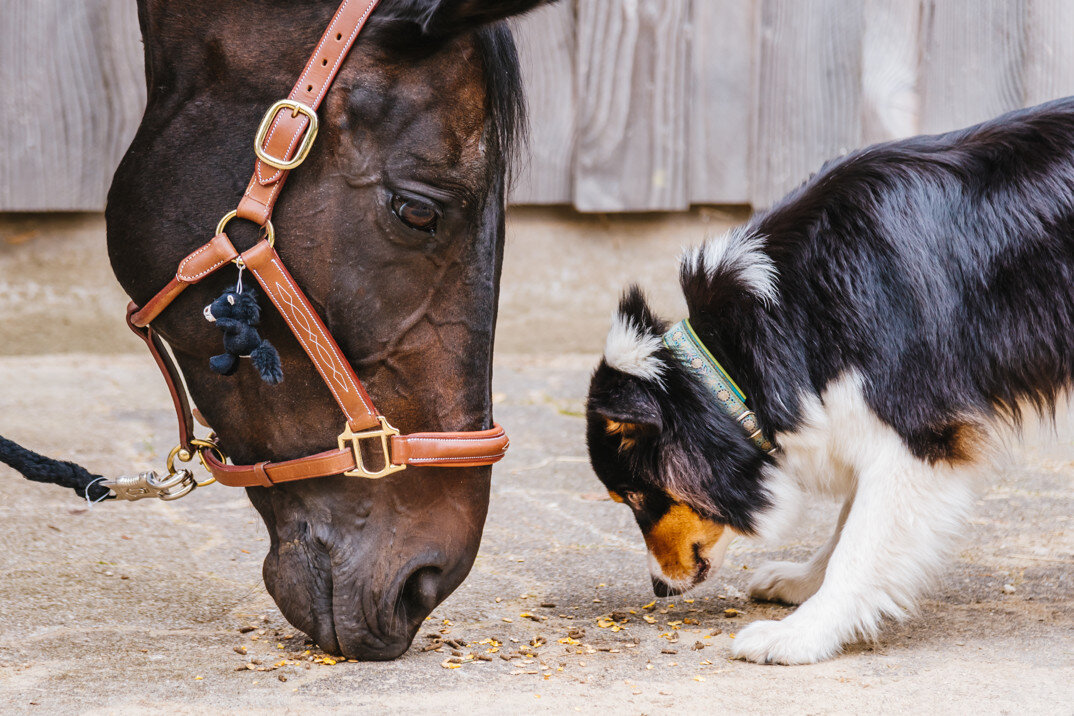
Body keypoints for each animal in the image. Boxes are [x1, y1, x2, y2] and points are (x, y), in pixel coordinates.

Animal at [584, 96, 1074, 665]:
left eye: (634, 496)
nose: (659, 588)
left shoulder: (916, 431)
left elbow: (860, 541)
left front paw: (800, 634)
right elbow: (846, 522)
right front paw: (801, 582)